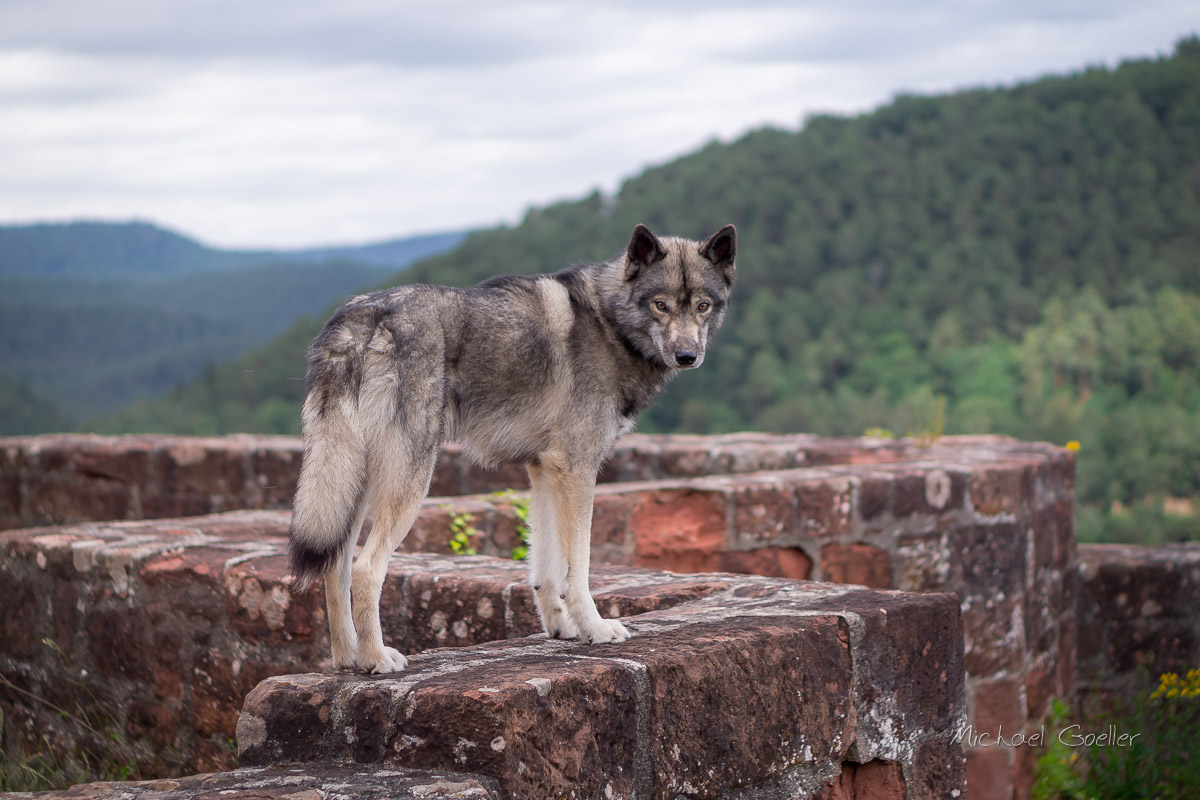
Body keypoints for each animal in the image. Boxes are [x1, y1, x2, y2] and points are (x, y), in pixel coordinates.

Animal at [290, 221, 734, 671]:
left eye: (702, 306)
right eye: (661, 305)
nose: (687, 355)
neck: (609, 324)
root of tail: (358, 319)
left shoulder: (544, 470)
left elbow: (546, 567)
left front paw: (561, 629)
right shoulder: (578, 469)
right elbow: (578, 567)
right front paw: (594, 629)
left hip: (356, 483)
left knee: (336, 565)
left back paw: (348, 660)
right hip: (407, 483)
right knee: (366, 569)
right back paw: (378, 659)